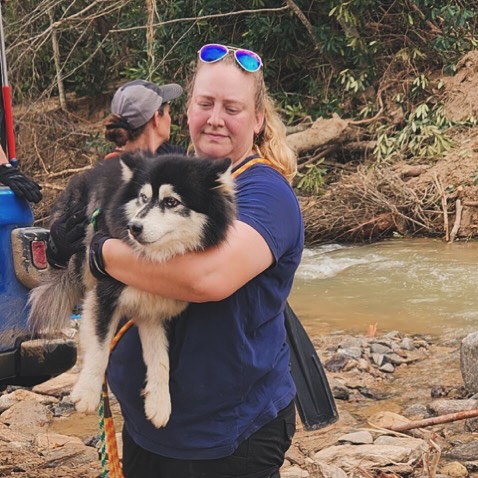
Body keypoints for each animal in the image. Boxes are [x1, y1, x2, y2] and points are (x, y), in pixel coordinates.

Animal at [27, 151, 235, 428]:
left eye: (171, 202)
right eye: (143, 198)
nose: (134, 227)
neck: (156, 259)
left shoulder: (154, 310)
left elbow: (161, 359)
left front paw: (159, 402)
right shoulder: (104, 294)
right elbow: (100, 346)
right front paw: (88, 392)